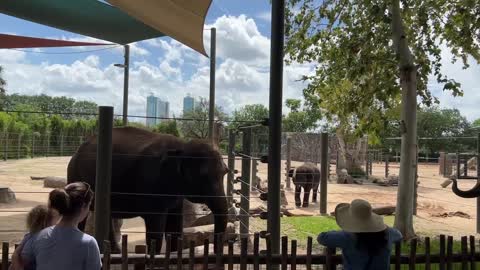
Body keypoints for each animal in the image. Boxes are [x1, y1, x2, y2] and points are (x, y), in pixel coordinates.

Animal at [67, 126, 229, 253]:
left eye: (226, 172)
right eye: (203, 176)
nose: (216, 251)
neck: (182, 146)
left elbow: (175, 226)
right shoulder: (152, 184)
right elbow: (156, 230)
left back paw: (115, 251)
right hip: (75, 174)